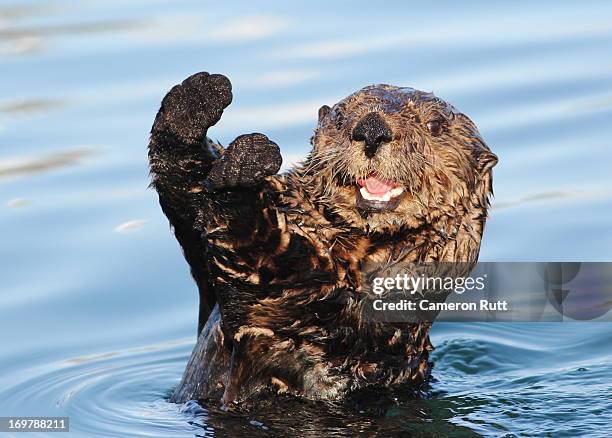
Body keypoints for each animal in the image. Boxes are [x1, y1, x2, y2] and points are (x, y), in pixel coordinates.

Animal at [149, 71, 498, 404]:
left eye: (435, 125)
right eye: (341, 117)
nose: (372, 129)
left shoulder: (325, 311)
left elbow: (263, 256)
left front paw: (243, 168)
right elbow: (186, 196)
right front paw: (195, 100)